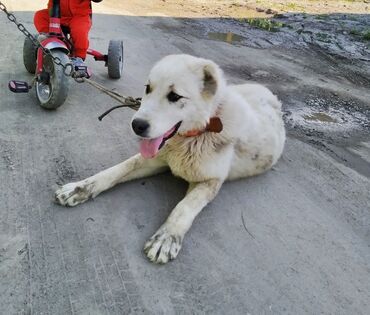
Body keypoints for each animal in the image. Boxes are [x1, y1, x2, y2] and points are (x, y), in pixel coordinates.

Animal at [55, 54, 286, 264]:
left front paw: (166, 237)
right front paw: (80, 188)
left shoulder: (210, 181)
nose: (137, 125)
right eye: (148, 88)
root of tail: (269, 93)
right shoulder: (154, 160)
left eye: (175, 96)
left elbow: (185, 207)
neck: (196, 135)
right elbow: (116, 170)